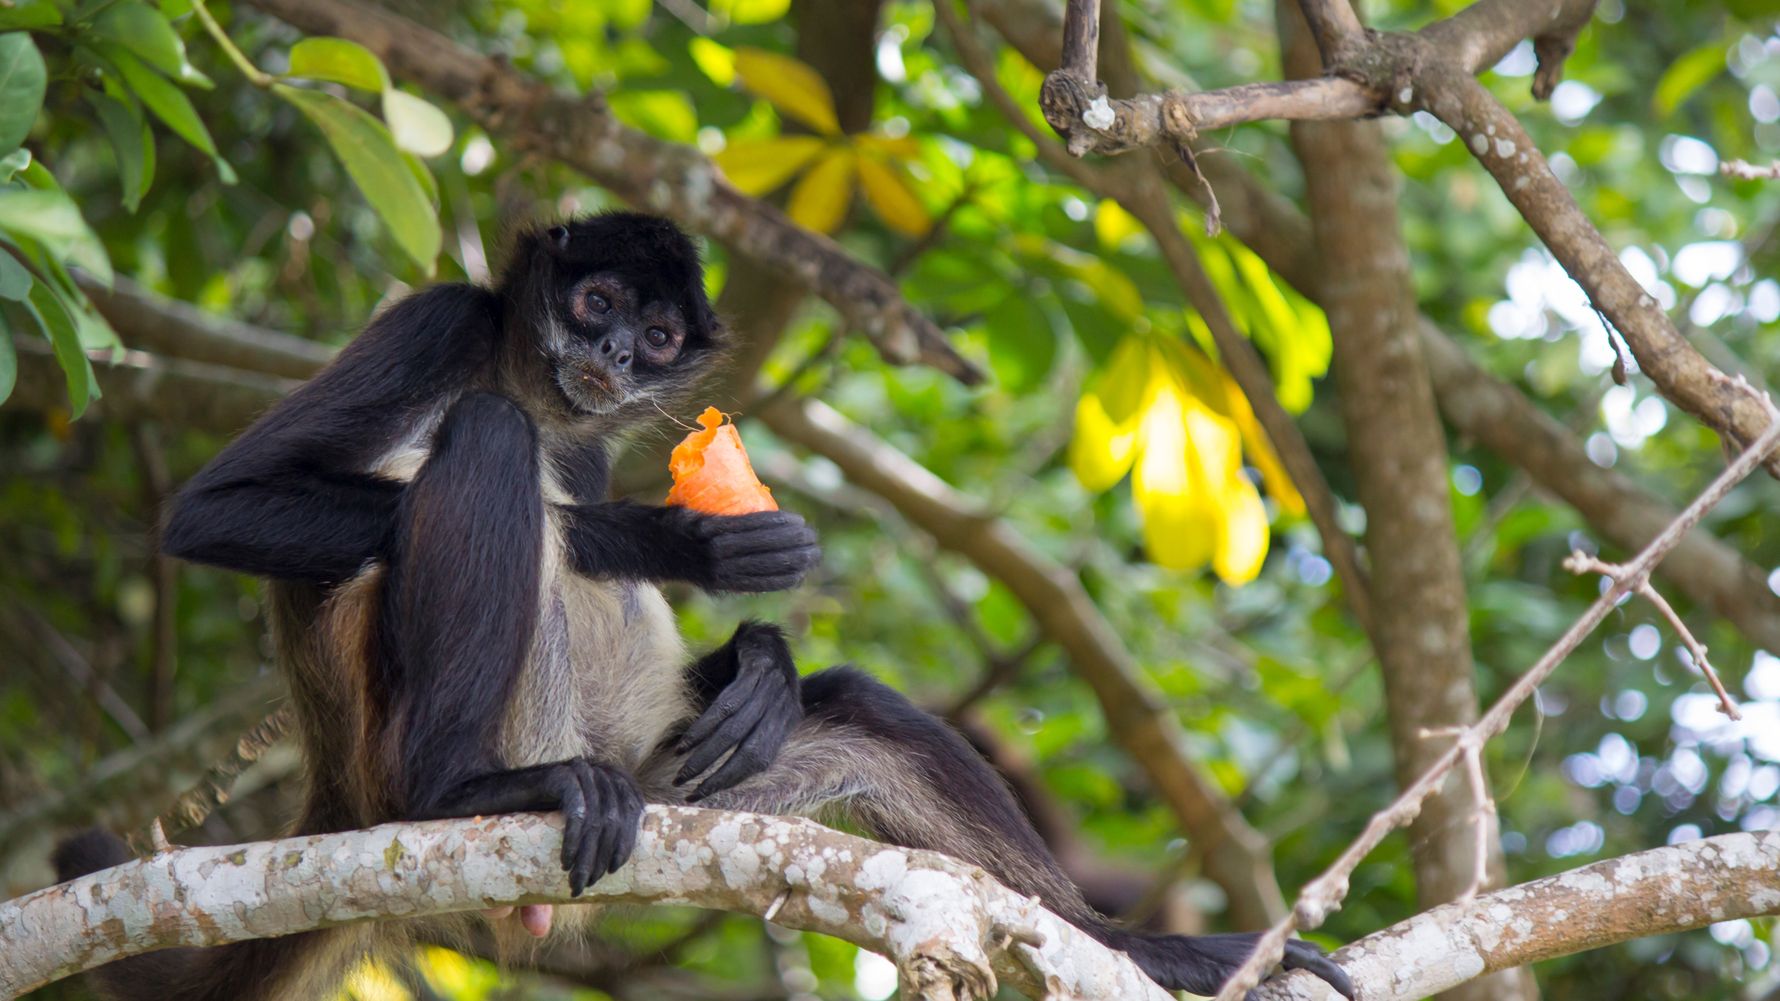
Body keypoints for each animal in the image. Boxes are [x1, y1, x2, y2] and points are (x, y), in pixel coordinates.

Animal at [52, 212, 1353, 1001]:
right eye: (595, 302)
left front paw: (761, 657)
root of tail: (337, 788)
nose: (621, 356)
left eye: (660, 331)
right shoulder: (440, 320)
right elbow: (215, 510)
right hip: (410, 732)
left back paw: (1147, 949)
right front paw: (672, 538)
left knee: (860, 709)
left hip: (671, 784)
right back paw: (465, 789)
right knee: (487, 437)